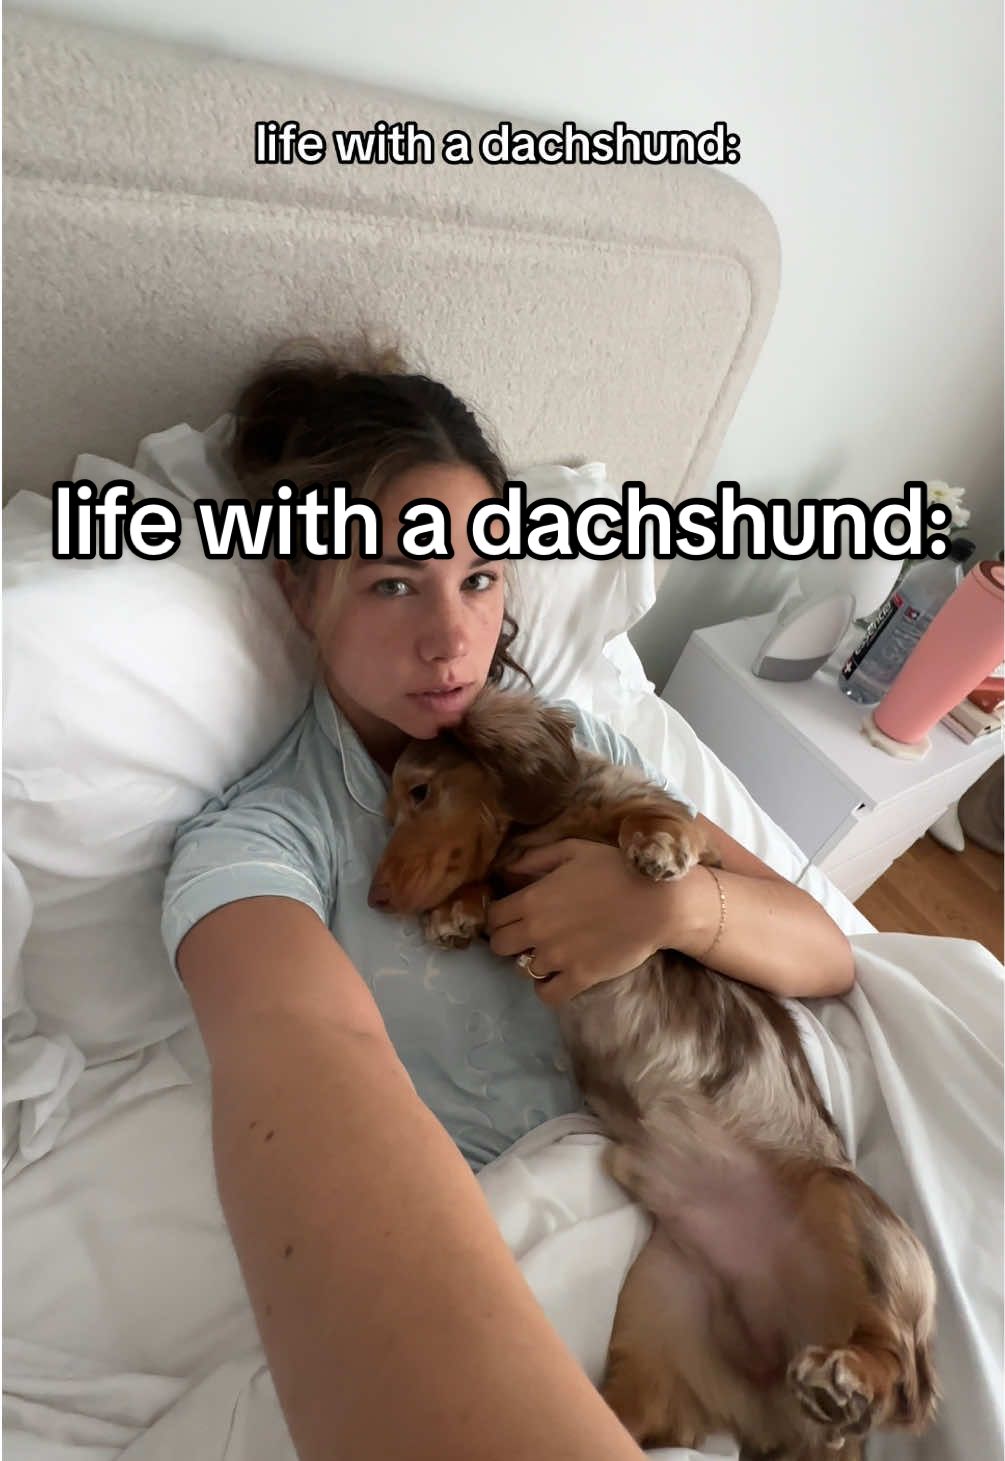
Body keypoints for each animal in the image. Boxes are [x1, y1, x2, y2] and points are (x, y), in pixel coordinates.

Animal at [367, 686, 938, 1458]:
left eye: (421, 791)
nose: (374, 897)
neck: (540, 828)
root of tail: (789, 1417)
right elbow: (487, 889)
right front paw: (461, 909)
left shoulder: (670, 833)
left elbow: (656, 816)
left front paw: (656, 844)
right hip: (660, 1315)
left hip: (847, 1211)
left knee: (902, 1373)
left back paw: (848, 1378)